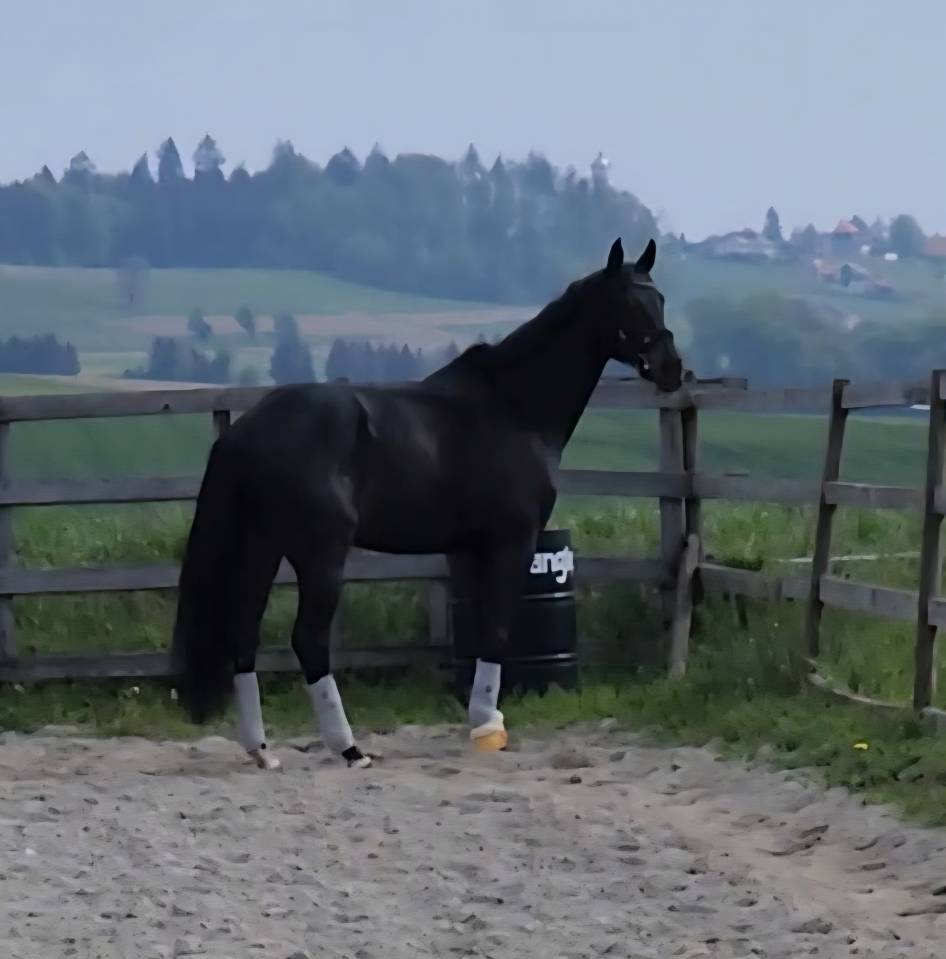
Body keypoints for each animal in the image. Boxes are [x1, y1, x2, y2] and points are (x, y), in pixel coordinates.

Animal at [170, 237, 684, 769]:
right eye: (628, 303)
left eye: (659, 298)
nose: (672, 369)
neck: (513, 408)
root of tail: (245, 433)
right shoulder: (513, 541)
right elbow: (497, 629)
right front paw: (488, 725)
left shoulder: (474, 549)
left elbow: (482, 629)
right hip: (319, 555)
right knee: (309, 640)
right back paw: (349, 748)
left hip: (261, 548)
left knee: (242, 632)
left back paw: (262, 751)